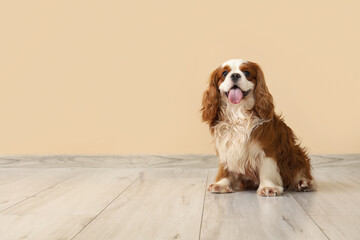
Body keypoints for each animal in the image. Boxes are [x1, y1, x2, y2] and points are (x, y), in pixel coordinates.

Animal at [202, 59, 316, 196]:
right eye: (224, 73)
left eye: (246, 73)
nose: (235, 75)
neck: (238, 112)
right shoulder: (226, 145)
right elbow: (225, 167)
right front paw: (221, 184)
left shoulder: (266, 148)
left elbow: (266, 169)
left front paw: (268, 187)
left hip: (296, 153)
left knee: (300, 171)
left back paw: (303, 183)